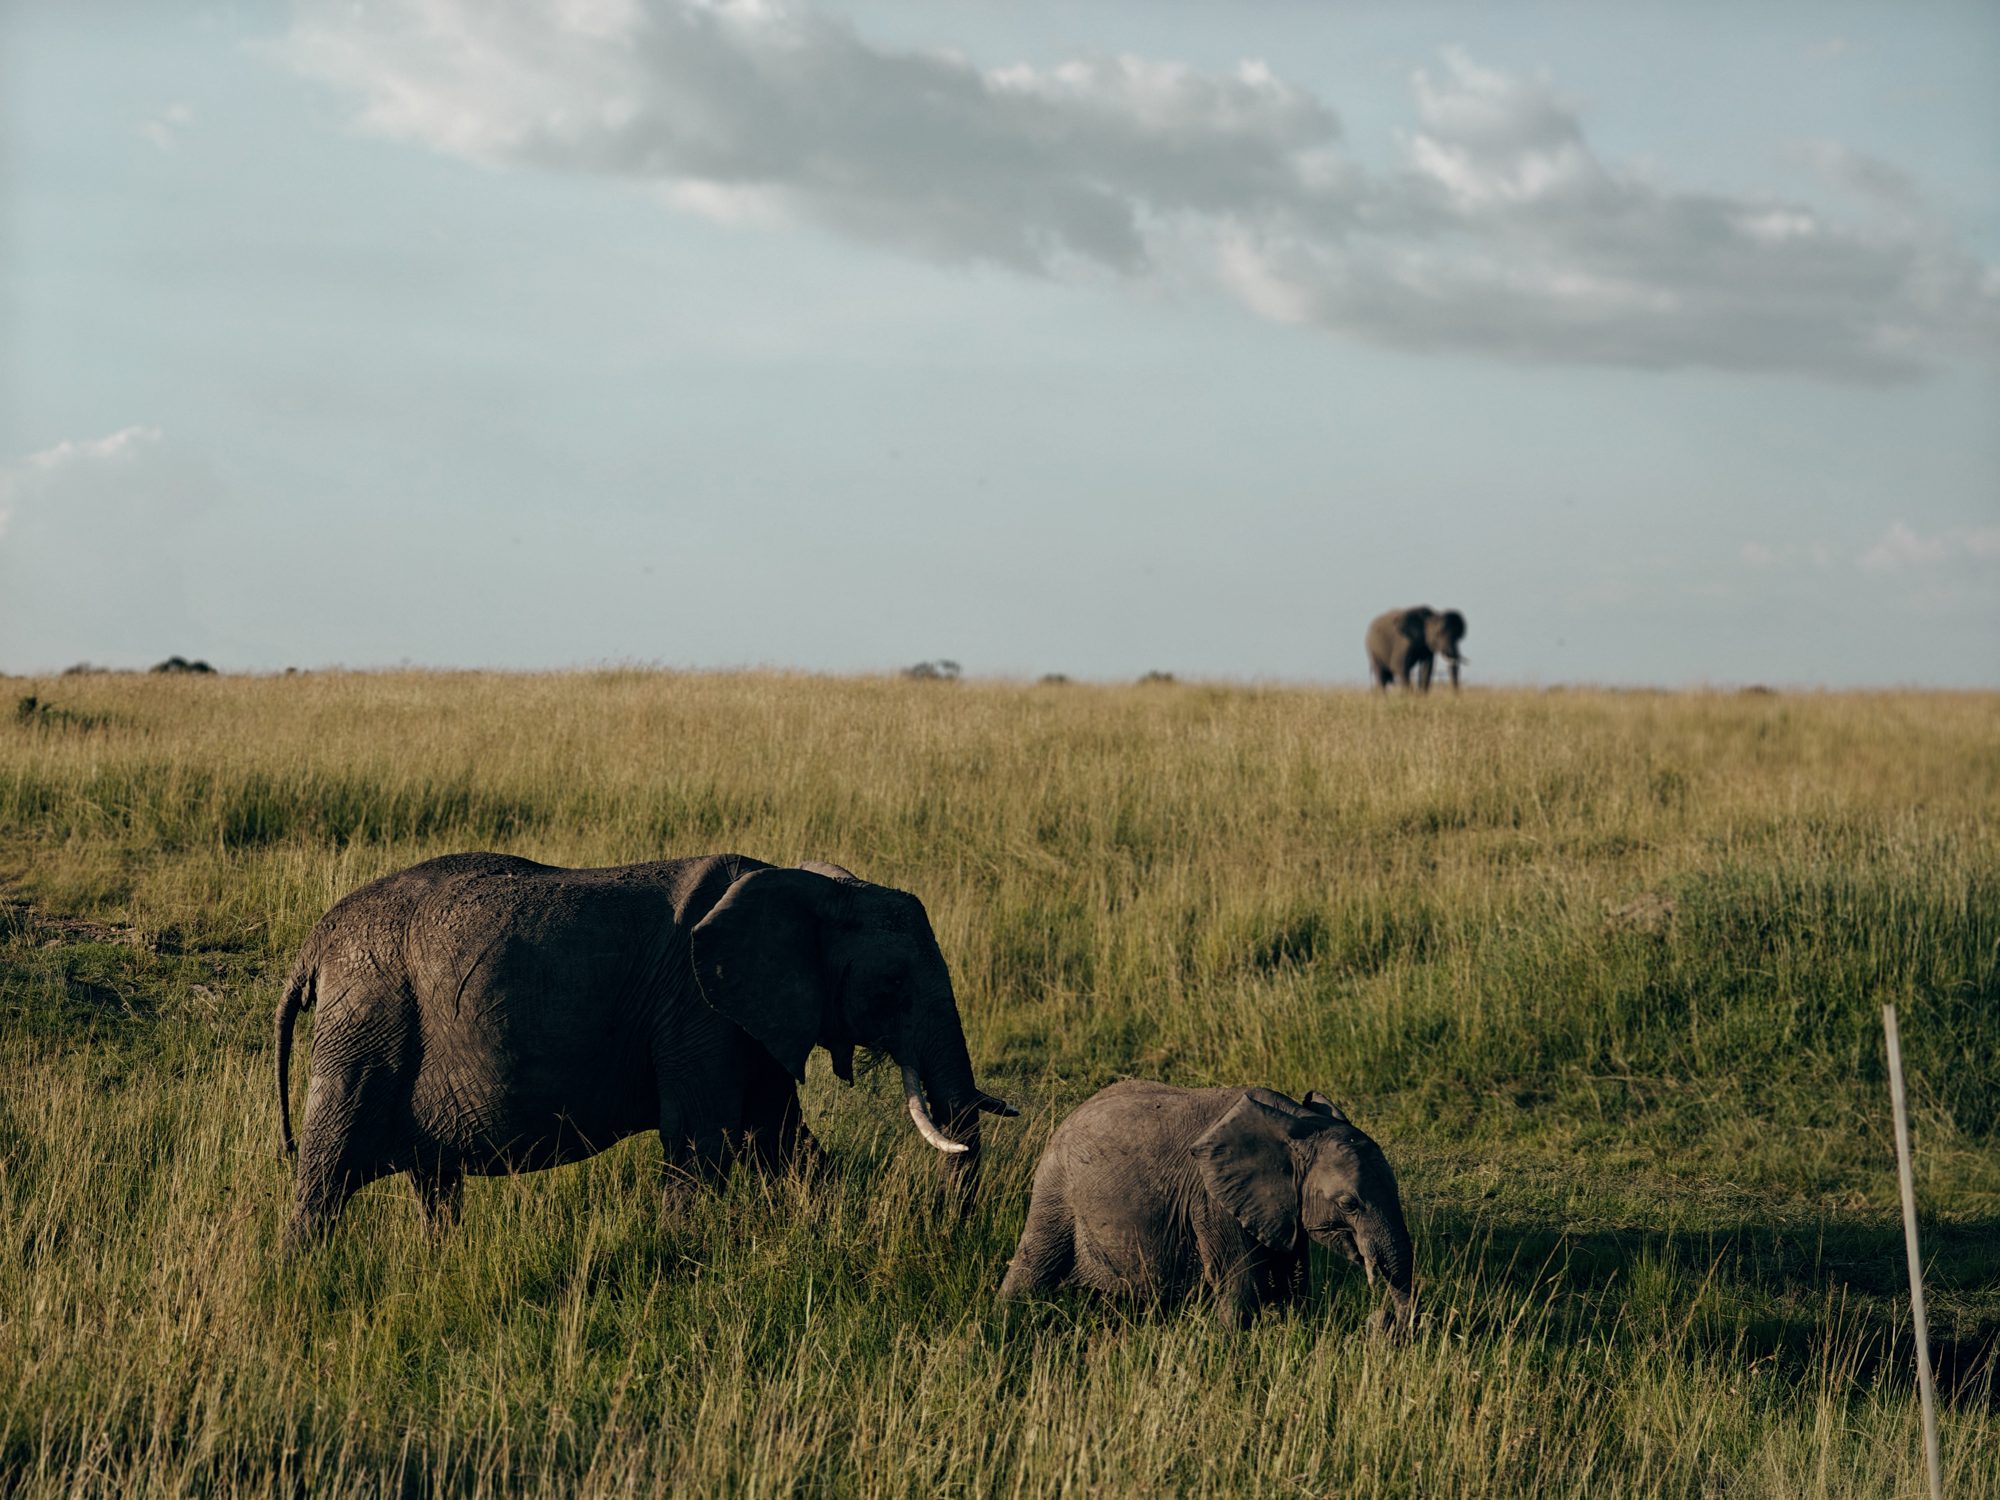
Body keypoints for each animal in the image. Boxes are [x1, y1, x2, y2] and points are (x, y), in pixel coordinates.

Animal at [274, 852, 1015, 1247]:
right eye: (892, 985)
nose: (944, 1235)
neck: (811, 887)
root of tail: (313, 945)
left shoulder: (748, 1019)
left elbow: (782, 1140)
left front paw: (830, 1233)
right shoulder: (697, 1011)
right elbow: (703, 1142)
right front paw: (680, 1258)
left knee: (433, 1184)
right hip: (366, 1023)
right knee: (325, 1175)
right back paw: (302, 1277)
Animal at [997, 1081, 1413, 1330]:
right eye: (1349, 1204)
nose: (1381, 1319)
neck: (1298, 1124)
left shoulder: (1279, 1206)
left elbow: (1291, 1282)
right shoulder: (1214, 1200)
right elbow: (1241, 1283)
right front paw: (1227, 1343)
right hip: (1057, 1191)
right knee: (1034, 1263)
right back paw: (1007, 1314)